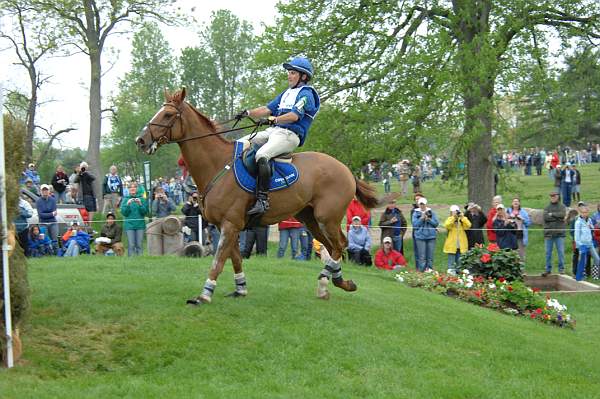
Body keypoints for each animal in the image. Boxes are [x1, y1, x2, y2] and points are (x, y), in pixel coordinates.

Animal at [138, 89, 378, 304]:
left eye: (168, 115)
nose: (140, 140)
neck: (217, 165)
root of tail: (347, 170)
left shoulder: (230, 224)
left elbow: (218, 260)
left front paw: (204, 295)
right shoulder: (227, 225)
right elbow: (235, 258)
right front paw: (240, 289)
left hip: (326, 217)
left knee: (340, 244)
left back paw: (326, 283)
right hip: (309, 218)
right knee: (333, 247)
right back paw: (336, 283)